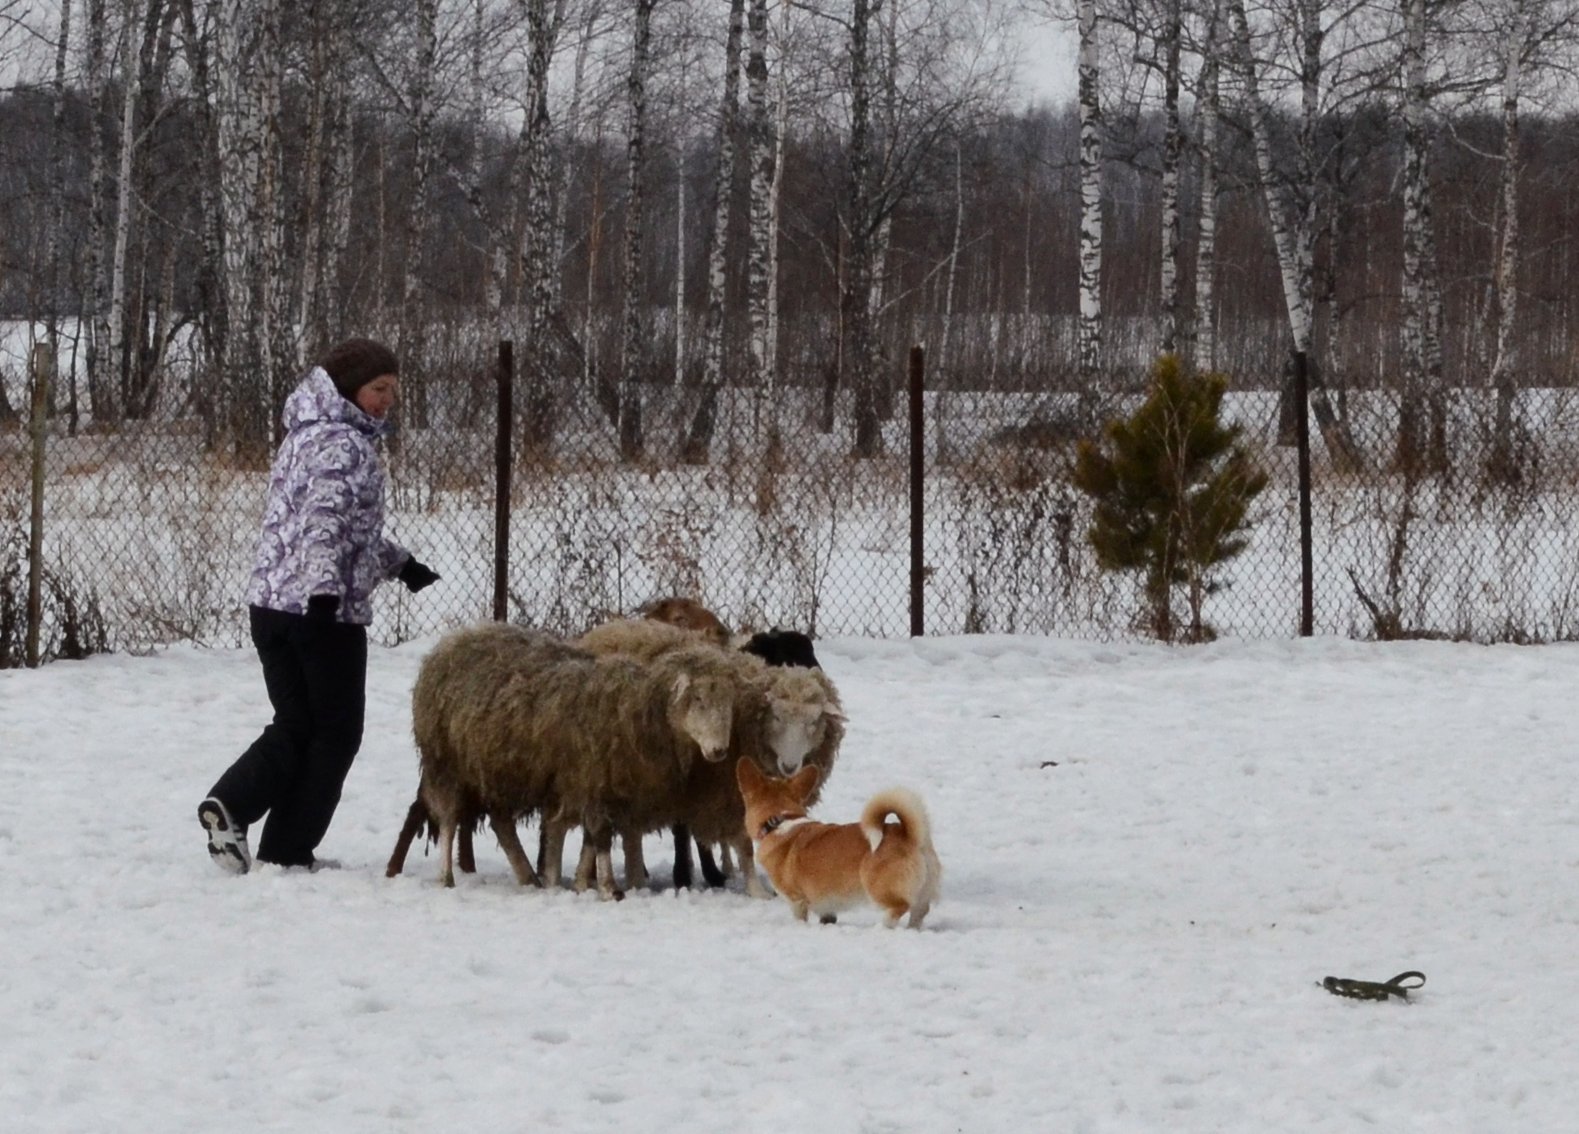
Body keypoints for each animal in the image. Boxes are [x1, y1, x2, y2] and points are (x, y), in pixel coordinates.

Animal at [407, 622, 732, 897]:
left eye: (726, 703)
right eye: (697, 699)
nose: (719, 750)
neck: (635, 709)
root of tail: (452, 641)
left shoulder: (595, 788)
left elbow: (586, 838)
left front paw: (575, 882)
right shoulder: (588, 779)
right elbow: (598, 834)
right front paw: (607, 888)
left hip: (494, 771)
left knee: (502, 824)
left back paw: (529, 877)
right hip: (446, 765)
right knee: (449, 820)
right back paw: (447, 876)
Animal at [562, 622, 846, 897]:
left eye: (814, 721)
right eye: (776, 717)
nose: (789, 766)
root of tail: (606, 629)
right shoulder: (715, 789)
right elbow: (740, 843)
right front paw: (753, 888)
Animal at [735, 758, 941, 928]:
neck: (780, 820)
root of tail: (910, 836)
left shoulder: (796, 900)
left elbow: (800, 917)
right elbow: (828, 916)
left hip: (879, 889)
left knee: (899, 907)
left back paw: (882, 926)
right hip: (922, 895)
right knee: (919, 913)